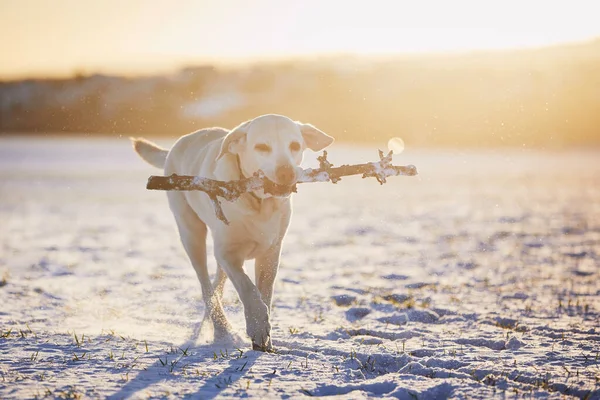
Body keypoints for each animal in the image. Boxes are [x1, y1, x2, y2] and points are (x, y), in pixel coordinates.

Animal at [131, 113, 332, 350]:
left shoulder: (270, 253)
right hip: (191, 233)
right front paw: (257, 327)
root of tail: (178, 144)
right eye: (261, 147)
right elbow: (248, 289)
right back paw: (222, 330)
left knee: (216, 286)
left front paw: (265, 339)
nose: (286, 172)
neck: (258, 202)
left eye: (295, 146)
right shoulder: (227, 252)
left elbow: (264, 293)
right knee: (206, 288)